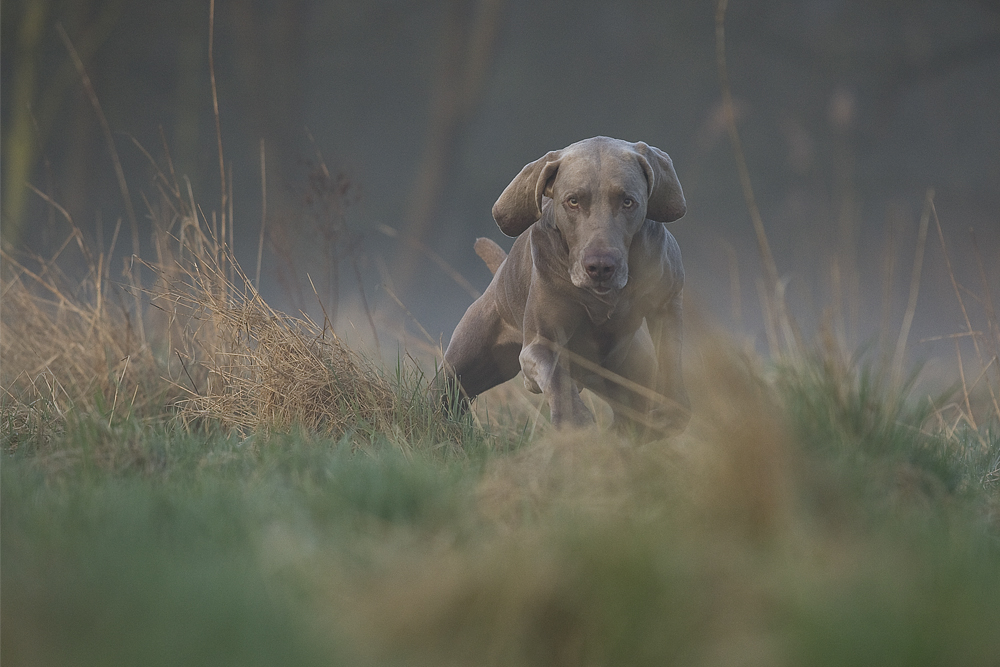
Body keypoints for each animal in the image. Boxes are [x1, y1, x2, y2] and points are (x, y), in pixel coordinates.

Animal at [444, 136, 688, 438]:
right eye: (573, 201)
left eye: (628, 202)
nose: (600, 267)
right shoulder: (540, 342)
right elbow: (554, 375)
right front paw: (575, 422)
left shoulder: (667, 304)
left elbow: (672, 373)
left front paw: (665, 415)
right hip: (463, 365)